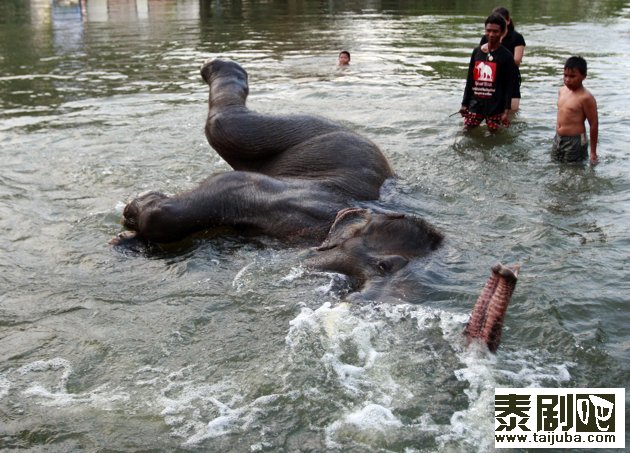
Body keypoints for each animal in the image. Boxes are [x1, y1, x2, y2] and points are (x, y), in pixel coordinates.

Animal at [111, 58, 520, 352]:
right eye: (384, 266)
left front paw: (127, 238)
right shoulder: (273, 197)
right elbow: (216, 189)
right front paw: (135, 211)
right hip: (311, 130)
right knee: (228, 126)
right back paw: (221, 67)